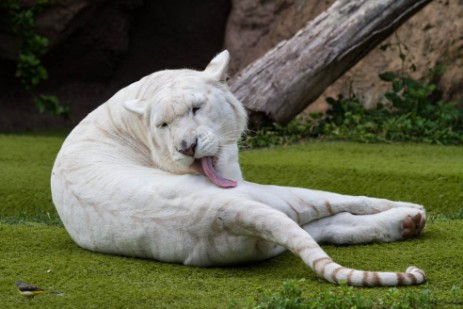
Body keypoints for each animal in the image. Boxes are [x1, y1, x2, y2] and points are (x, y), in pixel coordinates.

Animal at [51, 50, 428, 286]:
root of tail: (222, 213)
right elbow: (348, 202)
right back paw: (413, 213)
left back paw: (407, 224)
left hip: (263, 232)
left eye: (195, 108)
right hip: (272, 195)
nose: (186, 147)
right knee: (339, 207)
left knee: (326, 227)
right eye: (163, 125)